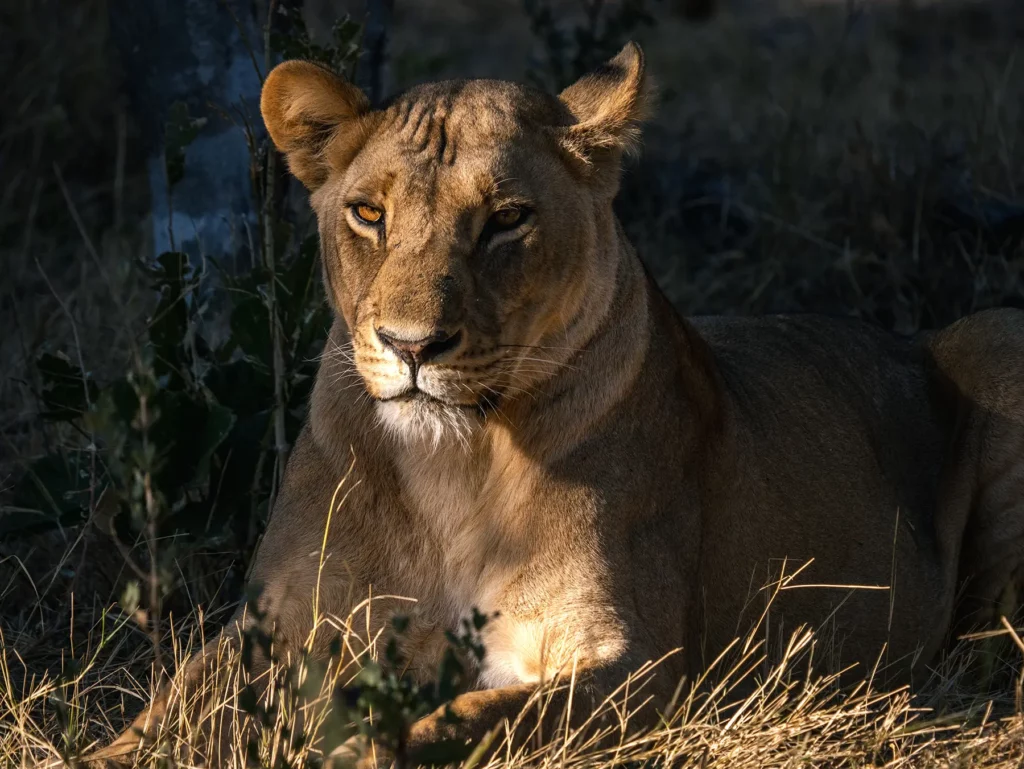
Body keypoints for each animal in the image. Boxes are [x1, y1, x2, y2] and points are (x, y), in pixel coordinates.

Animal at [83, 42, 1024, 767]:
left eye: (506, 219)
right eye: (367, 213)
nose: (411, 346)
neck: (450, 463)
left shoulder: (634, 663)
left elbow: (475, 719)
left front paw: (368, 745)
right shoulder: (274, 626)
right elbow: (162, 714)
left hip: (995, 332)